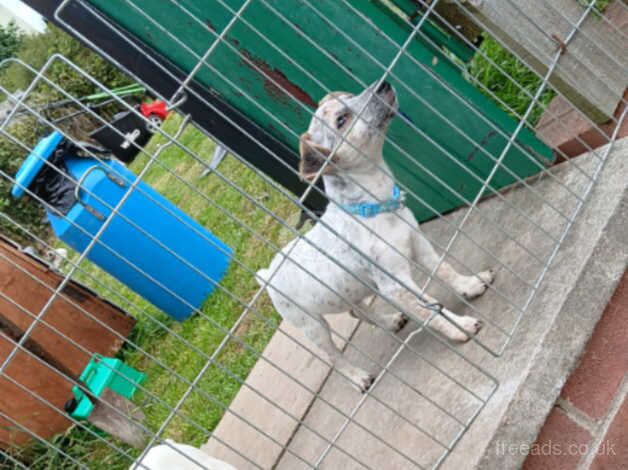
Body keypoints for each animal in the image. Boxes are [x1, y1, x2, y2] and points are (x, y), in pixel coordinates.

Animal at [258, 81, 494, 392]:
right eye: (341, 120)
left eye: (349, 95)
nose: (383, 84)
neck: (375, 209)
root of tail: (268, 273)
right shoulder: (395, 286)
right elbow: (431, 309)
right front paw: (461, 327)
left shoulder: (420, 245)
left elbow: (445, 269)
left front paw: (470, 284)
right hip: (312, 325)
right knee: (333, 356)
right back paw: (358, 377)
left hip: (351, 291)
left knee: (357, 312)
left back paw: (390, 321)